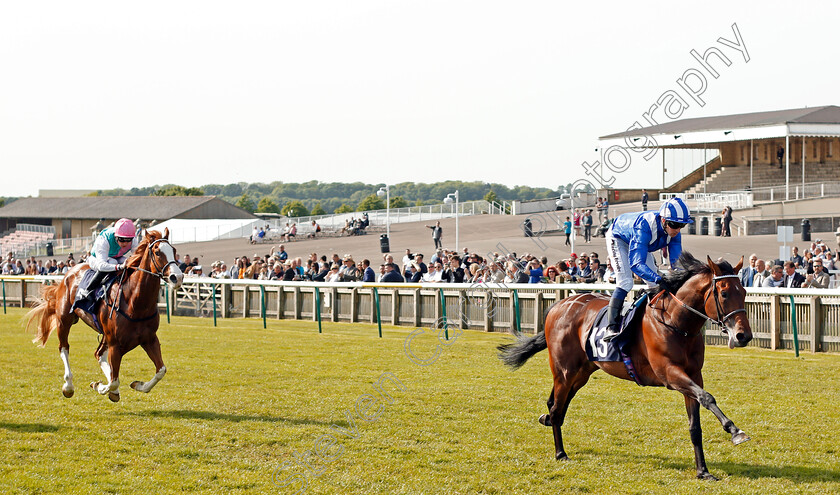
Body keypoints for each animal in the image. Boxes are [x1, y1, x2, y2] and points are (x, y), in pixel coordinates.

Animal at [25, 230, 183, 404]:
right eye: (157, 252)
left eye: (174, 250)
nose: (177, 277)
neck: (135, 303)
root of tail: (69, 272)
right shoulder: (115, 343)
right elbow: (114, 380)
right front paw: (99, 386)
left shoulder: (149, 339)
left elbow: (161, 370)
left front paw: (138, 385)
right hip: (64, 320)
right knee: (64, 348)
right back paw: (68, 386)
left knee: (99, 354)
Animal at [498, 254, 756, 478]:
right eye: (724, 293)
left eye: (744, 291)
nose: (743, 336)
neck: (675, 322)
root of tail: (558, 306)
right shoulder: (670, 375)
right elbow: (707, 397)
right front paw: (735, 431)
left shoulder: (692, 375)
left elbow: (695, 425)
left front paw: (703, 471)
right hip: (564, 371)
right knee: (557, 408)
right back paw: (560, 453)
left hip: (581, 373)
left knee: (555, 404)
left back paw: (546, 420)